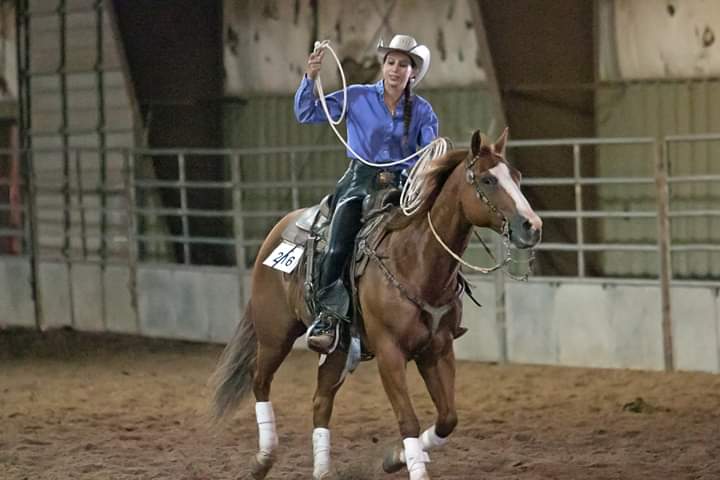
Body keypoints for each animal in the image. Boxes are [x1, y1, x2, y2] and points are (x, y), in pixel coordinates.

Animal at [210, 128, 542, 480]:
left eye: (517, 177)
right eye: (488, 180)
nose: (532, 226)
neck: (413, 260)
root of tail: (278, 229)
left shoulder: (437, 350)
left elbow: (447, 418)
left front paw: (396, 457)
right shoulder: (389, 354)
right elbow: (408, 420)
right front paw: (410, 464)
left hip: (337, 349)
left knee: (320, 401)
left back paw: (322, 471)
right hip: (275, 334)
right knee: (259, 380)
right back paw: (262, 460)